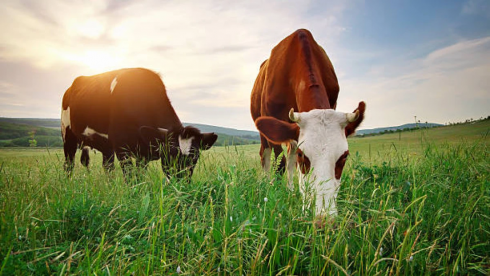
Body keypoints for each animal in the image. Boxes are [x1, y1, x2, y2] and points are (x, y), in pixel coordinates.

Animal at [60, 67, 217, 179]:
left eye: (195, 158)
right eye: (170, 155)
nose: (181, 184)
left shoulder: (143, 153)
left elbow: (140, 176)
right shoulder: (121, 146)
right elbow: (130, 177)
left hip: (106, 146)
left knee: (108, 167)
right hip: (67, 135)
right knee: (69, 164)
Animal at [251, 29, 366, 217]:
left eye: (344, 157)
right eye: (302, 155)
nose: (323, 217)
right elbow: (280, 162)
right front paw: (274, 193)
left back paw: (290, 190)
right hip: (263, 129)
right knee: (267, 155)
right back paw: (267, 184)